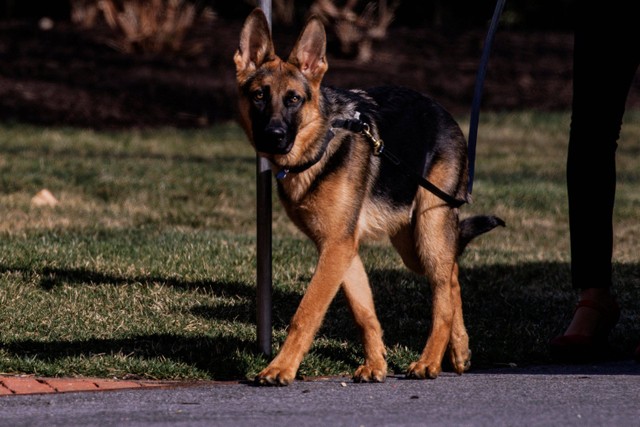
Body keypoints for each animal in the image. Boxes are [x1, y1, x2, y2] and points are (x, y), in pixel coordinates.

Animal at [235, 8, 504, 386]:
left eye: (293, 99)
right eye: (259, 95)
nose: (274, 136)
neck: (321, 142)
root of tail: (442, 110)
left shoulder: (337, 248)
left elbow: (306, 312)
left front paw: (281, 367)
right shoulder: (340, 247)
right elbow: (364, 310)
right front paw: (376, 363)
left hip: (428, 230)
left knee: (442, 296)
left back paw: (429, 361)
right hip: (412, 244)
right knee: (451, 275)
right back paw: (459, 350)